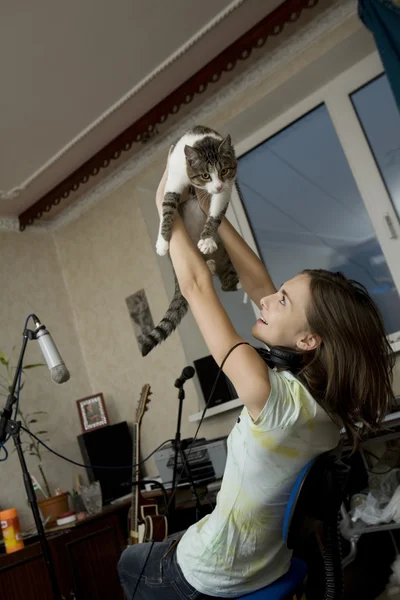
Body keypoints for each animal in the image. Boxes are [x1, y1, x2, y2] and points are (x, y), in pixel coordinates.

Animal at [142, 123, 239, 354]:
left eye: (223, 171)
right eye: (205, 175)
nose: (217, 186)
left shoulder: (226, 188)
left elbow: (216, 212)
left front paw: (207, 239)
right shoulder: (174, 178)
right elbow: (167, 209)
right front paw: (162, 242)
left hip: (225, 258)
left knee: (226, 282)